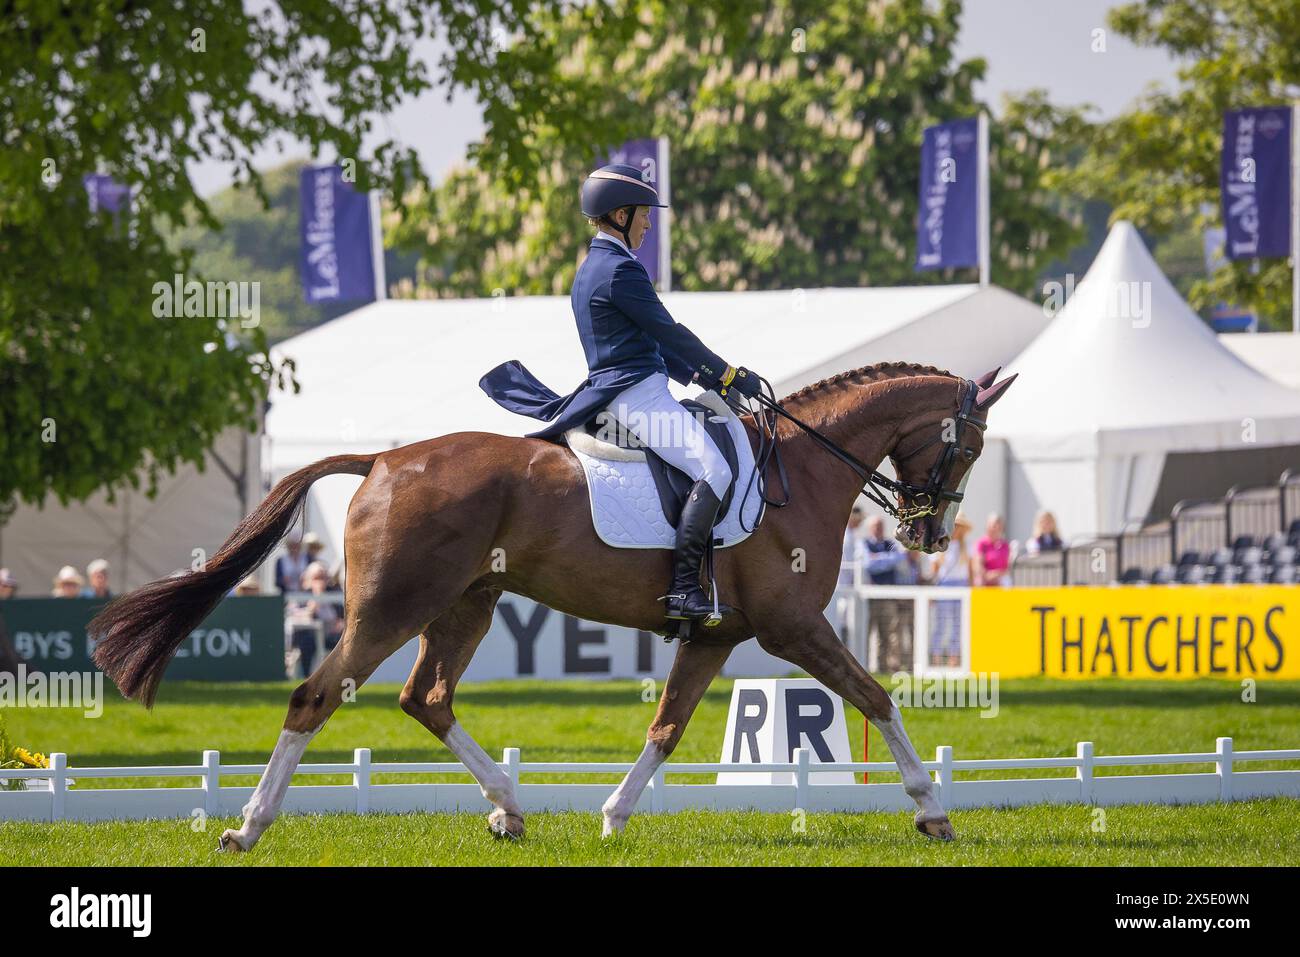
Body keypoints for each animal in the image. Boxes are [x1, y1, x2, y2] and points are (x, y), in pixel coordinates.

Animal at [91, 361, 1019, 847]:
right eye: (970, 445)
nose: (931, 534)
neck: (805, 469)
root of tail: (383, 460)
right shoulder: (794, 627)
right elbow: (875, 694)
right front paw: (932, 808)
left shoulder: (716, 635)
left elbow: (667, 727)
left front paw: (612, 815)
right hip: (391, 609)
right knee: (315, 695)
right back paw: (248, 825)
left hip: (464, 605)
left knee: (426, 698)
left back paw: (510, 806)